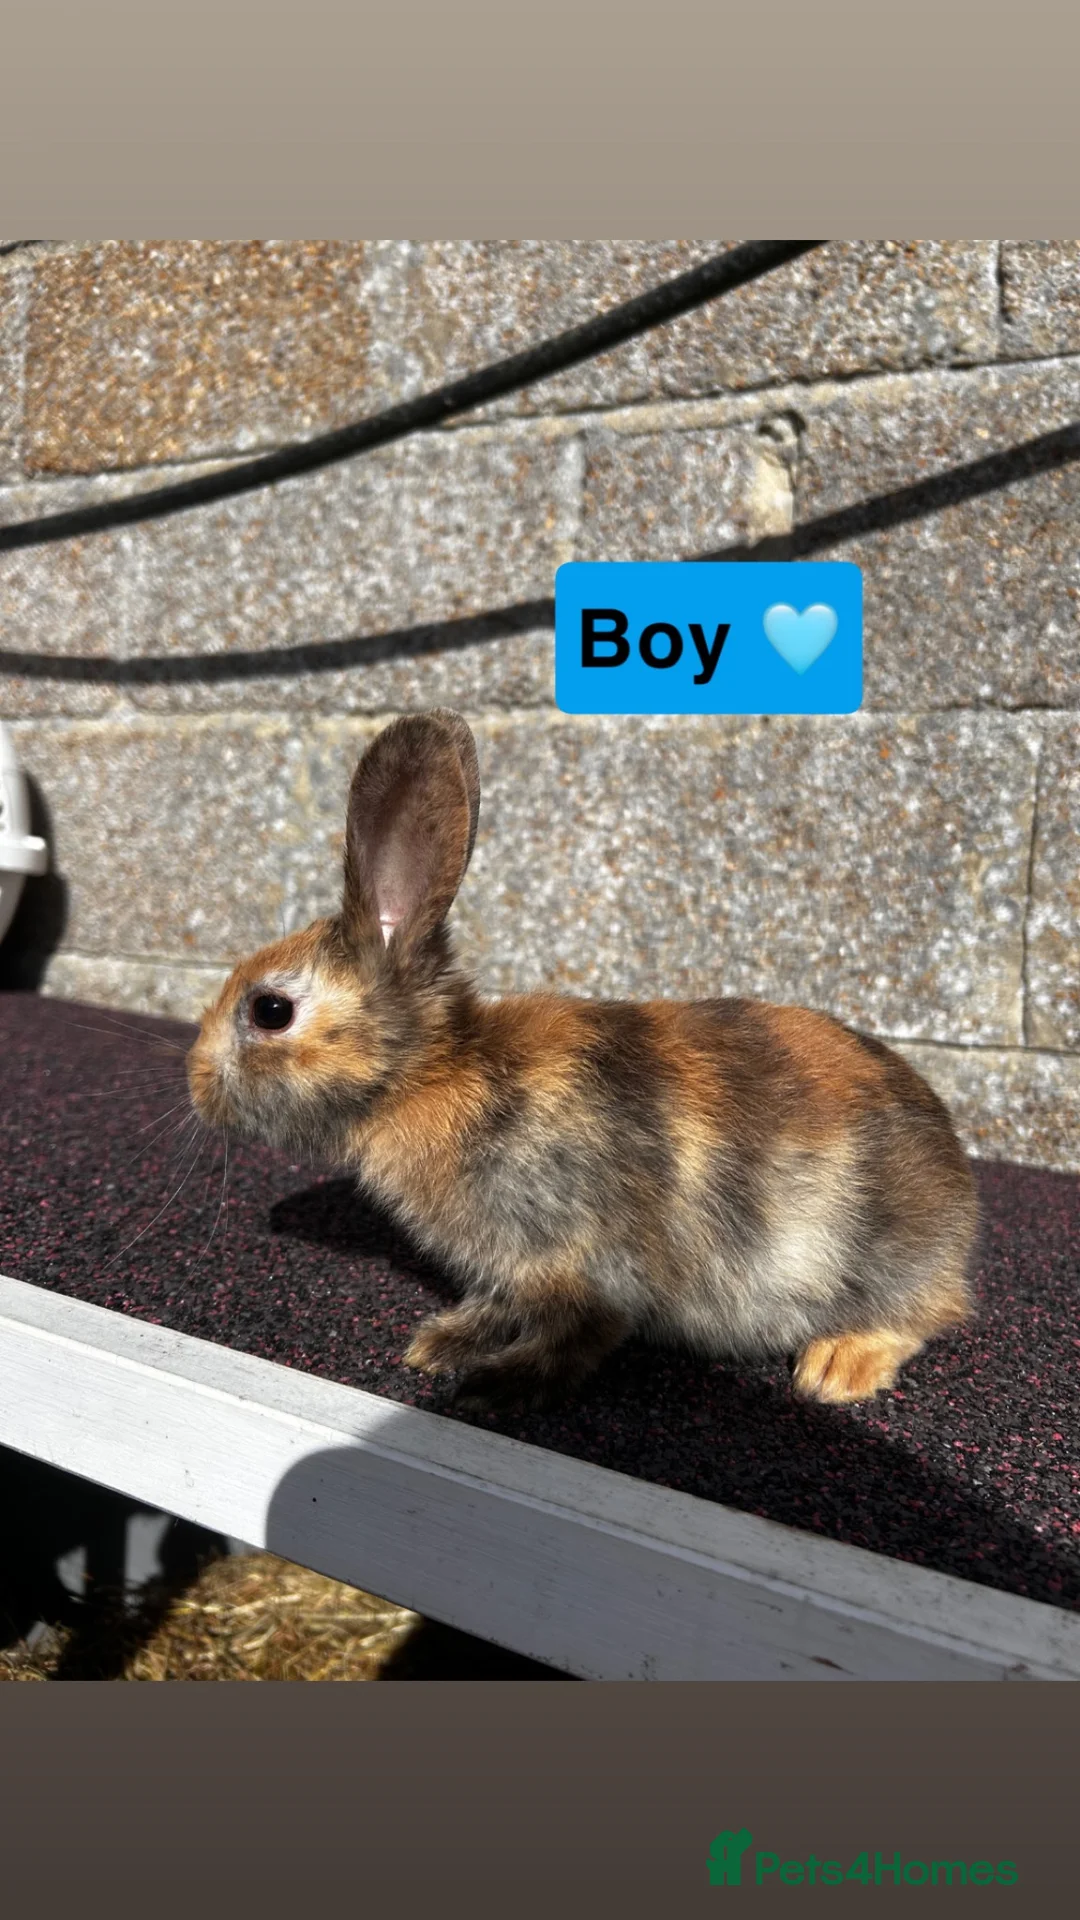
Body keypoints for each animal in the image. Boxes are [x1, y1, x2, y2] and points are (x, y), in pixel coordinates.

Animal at [187, 708, 978, 1411]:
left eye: (269, 1011)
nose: (196, 1084)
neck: (432, 1075)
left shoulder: (581, 1260)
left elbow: (580, 1333)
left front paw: (498, 1385)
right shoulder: (511, 1269)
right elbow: (497, 1305)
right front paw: (444, 1342)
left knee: (931, 1310)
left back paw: (836, 1366)